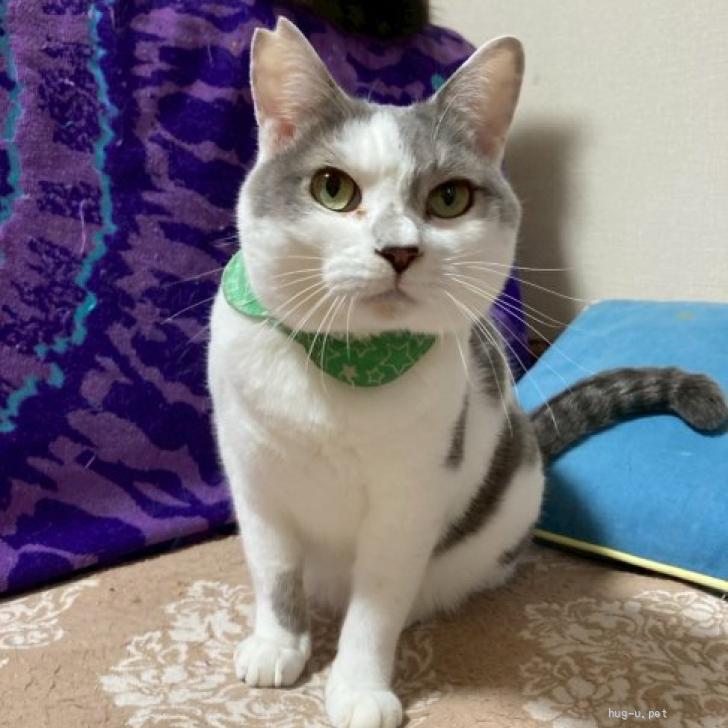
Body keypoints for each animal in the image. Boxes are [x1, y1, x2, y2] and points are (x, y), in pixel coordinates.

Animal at [207, 18, 728, 728]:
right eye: (333, 189)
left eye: (448, 198)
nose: (399, 250)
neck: (342, 369)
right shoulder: (255, 481)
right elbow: (275, 574)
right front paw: (278, 645)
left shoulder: (409, 503)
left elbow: (375, 609)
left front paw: (358, 686)